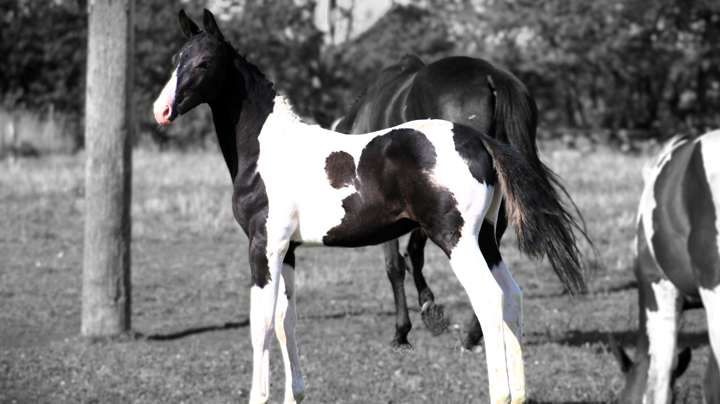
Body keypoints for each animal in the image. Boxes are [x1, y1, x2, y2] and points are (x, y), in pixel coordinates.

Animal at [334, 54, 588, 350]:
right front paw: (428, 307)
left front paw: (402, 332)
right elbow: (414, 252)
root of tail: (492, 76)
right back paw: (474, 334)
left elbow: (396, 265)